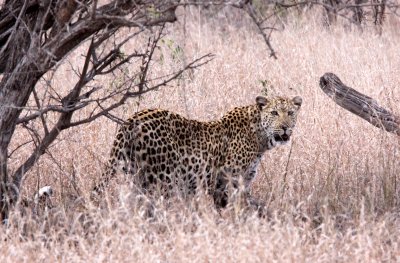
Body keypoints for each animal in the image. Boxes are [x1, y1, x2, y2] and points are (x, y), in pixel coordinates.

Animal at [92, 96, 302, 209]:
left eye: (290, 113)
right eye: (274, 113)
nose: (285, 127)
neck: (261, 138)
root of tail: (131, 120)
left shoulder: (239, 183)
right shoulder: (228, 181)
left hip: (135, 176)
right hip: (161, 181)